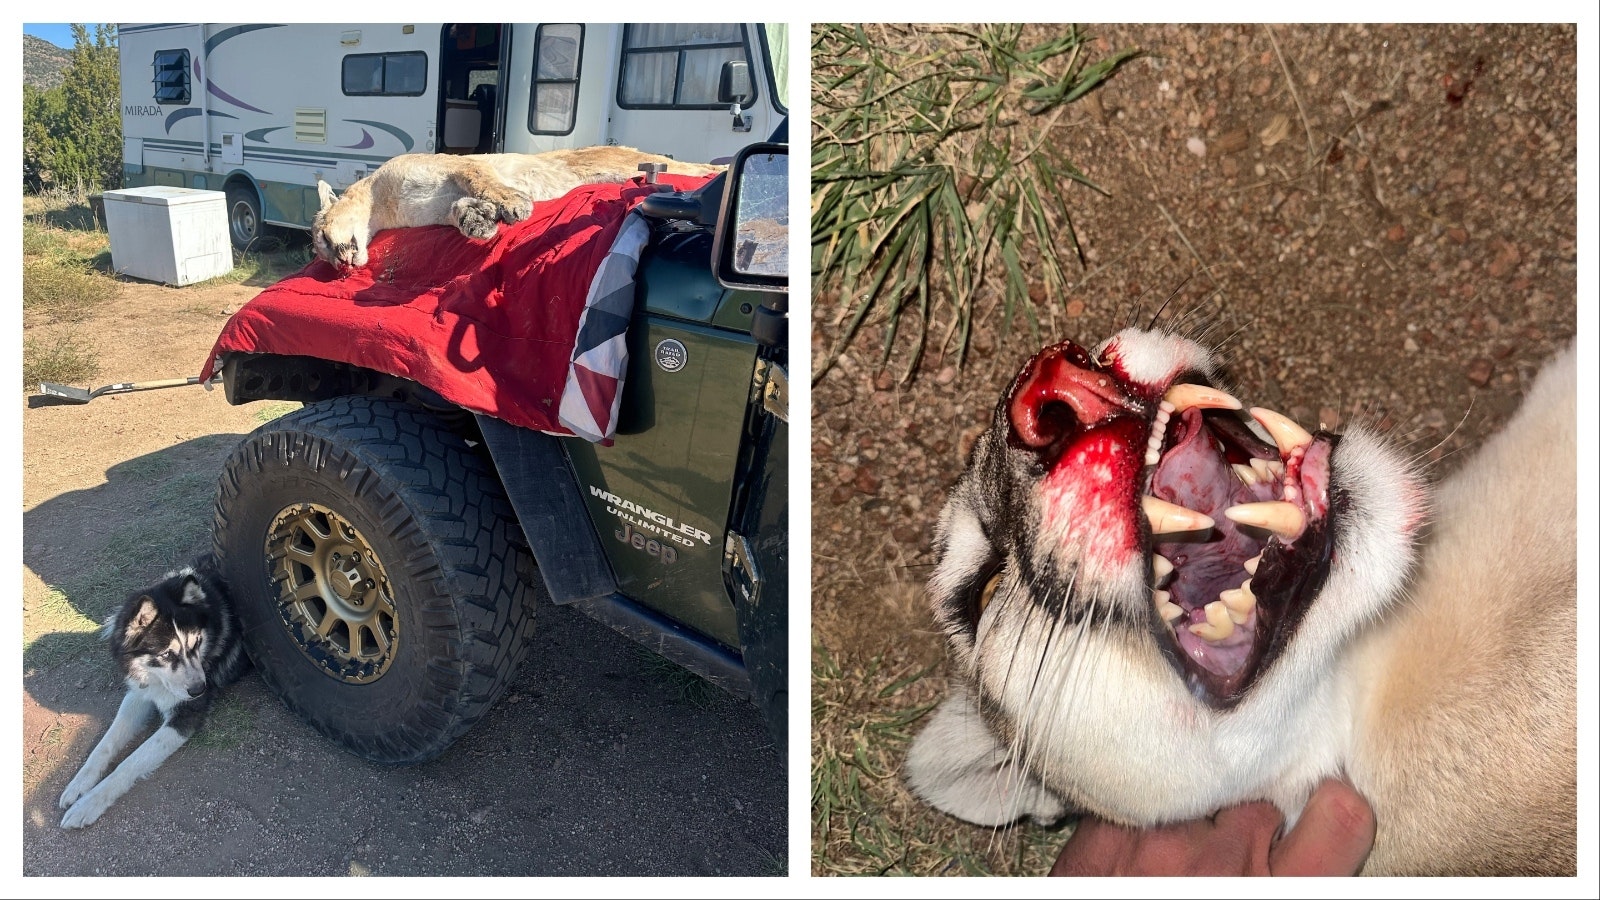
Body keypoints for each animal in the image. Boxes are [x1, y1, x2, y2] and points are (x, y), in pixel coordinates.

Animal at [57, 554, 246, 826]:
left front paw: (87, 805)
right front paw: (79, 783)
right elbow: (105, 743)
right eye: (166, 654)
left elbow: (130, 763)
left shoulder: (185, 717)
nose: (199, 690)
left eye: (197, 643)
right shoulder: (139, 693)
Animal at [312, 143, 726, 267]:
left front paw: (514, 204)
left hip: (627, 164)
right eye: (323, 254)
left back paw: (724, 169)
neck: (384, 204)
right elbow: (458, 209)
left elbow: (482, 179)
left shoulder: (457, 164)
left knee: (694, 167)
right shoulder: (437, 206)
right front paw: (477, 221)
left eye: (322, 239)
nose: (339, 265)